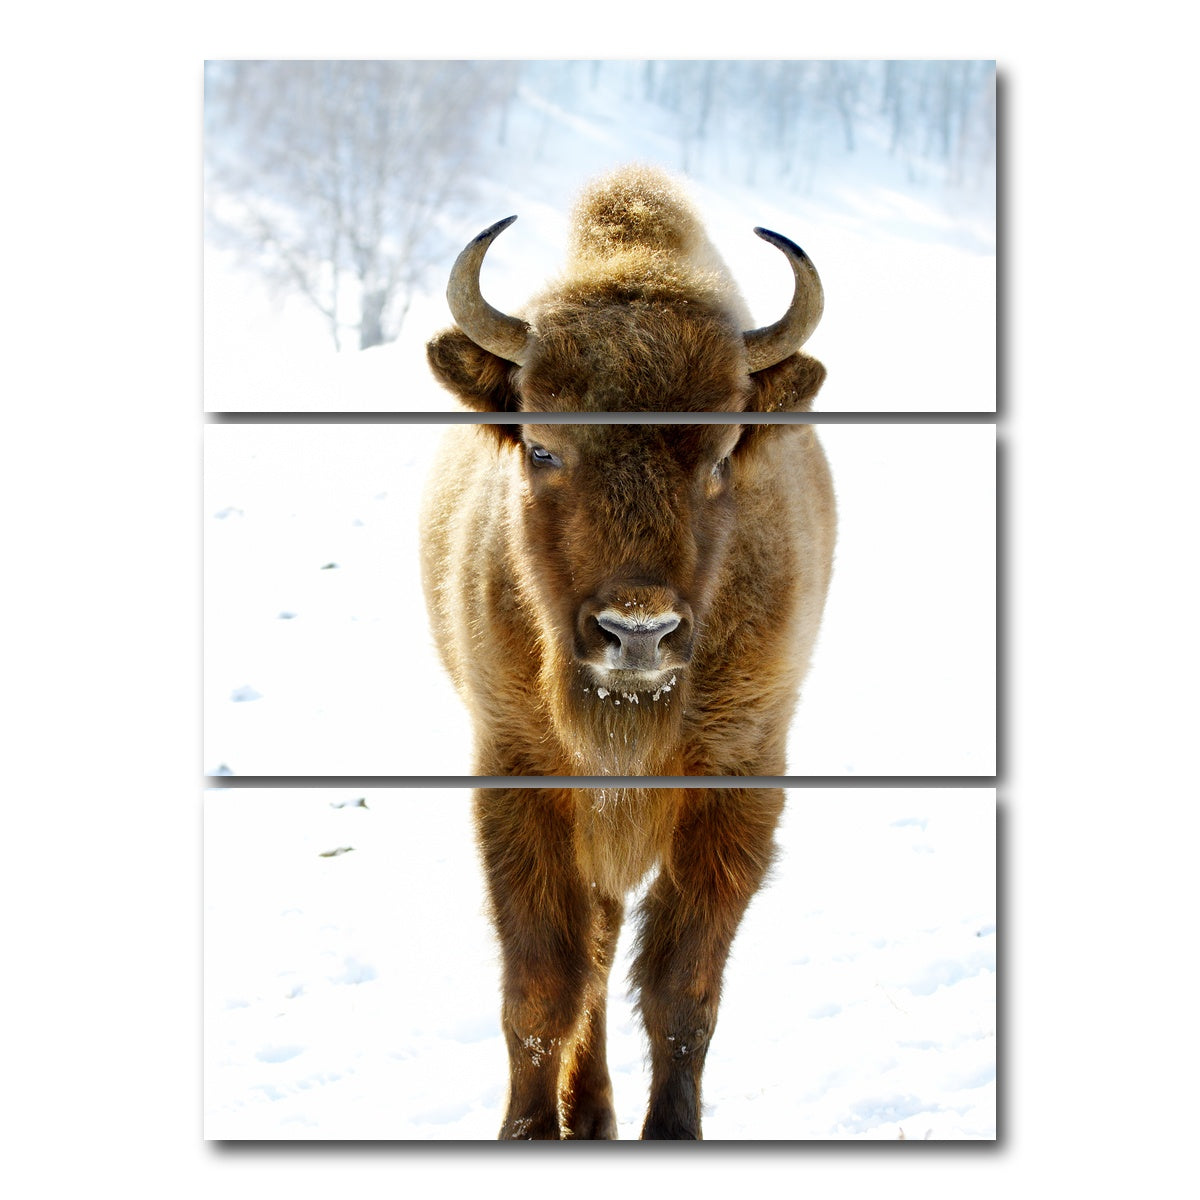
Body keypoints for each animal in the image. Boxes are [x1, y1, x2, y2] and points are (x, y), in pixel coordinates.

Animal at [420, 167, 835, 1138]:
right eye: (541, 447)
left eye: (722, 454)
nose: (636, 631)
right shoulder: (521, 776)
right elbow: (543, 985)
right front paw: (530, 1132)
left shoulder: (736, 784)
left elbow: (683, 991)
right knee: (595, 958)